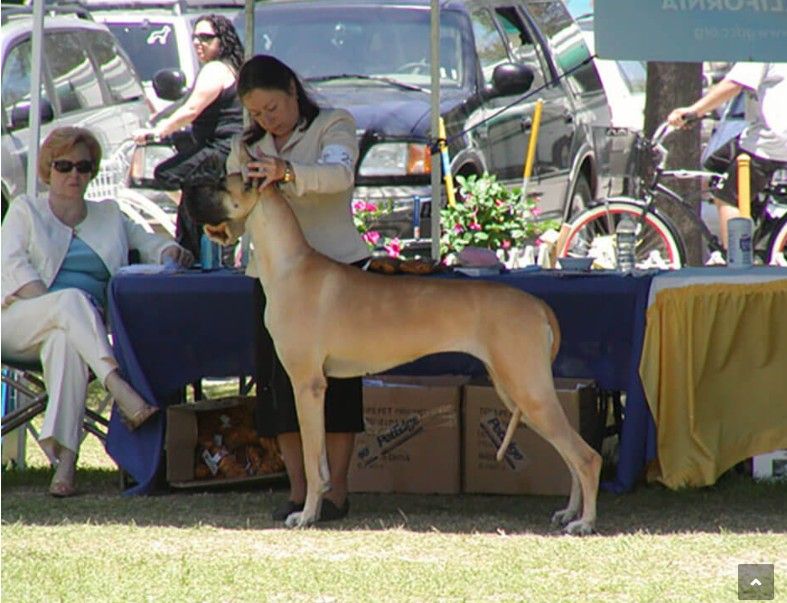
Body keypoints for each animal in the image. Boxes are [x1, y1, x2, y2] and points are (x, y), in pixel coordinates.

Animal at [184, 165, 602, 535]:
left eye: (221, 183)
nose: (184, 190)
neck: (289, 265)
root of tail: (539, 305)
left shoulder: (308, 386)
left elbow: (313, 460)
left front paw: (307, 515)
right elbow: (319, 463)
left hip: (528, 391)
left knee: (586, 457)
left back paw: (584, 522)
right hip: (517, 391)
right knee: (570, 456)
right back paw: (569, 512)